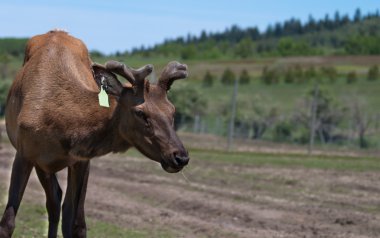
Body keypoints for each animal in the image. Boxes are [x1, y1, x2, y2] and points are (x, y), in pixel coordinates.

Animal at [0, 30, 190, 237]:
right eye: (140, 112)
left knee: (62, 206)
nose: (180, 157)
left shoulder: (81, 160)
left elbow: (74, 222)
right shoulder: (24, 153)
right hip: (41, 164)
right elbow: (8, 222)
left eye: (172, 111)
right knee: (54, 202)